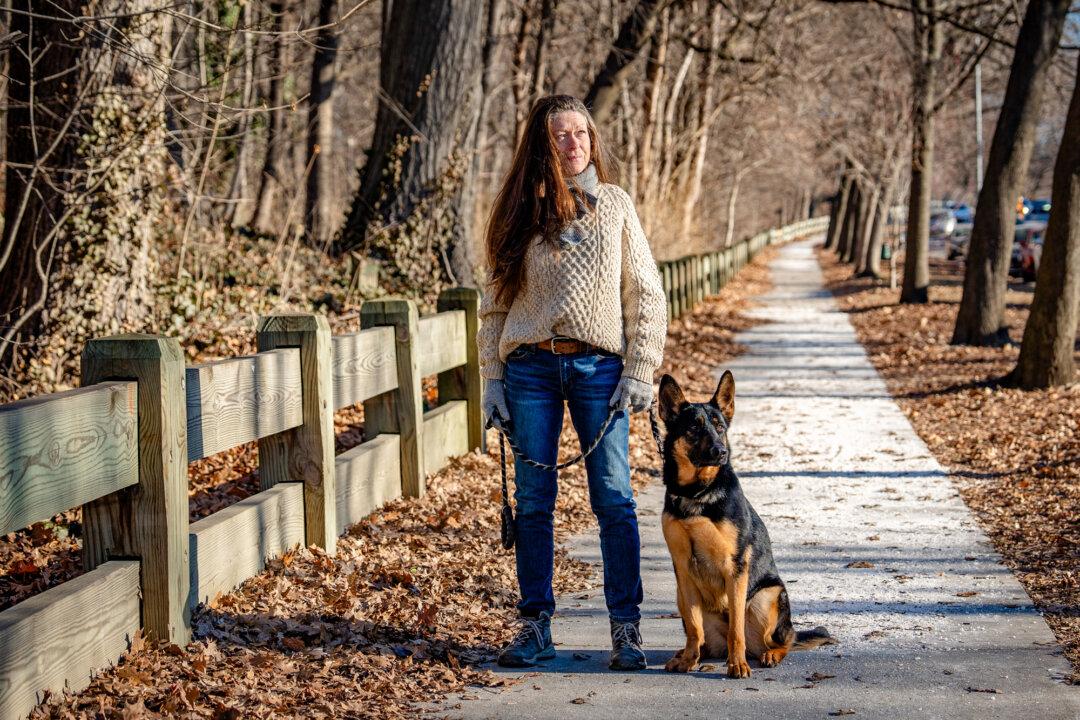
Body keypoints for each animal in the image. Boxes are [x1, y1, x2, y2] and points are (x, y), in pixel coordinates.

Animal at [652, 375, 838, 677]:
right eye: (693, 428)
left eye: (719, 427)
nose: (720, 451)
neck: (697, 493)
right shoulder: (683, 569)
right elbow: (693, 626)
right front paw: (688, 659)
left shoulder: (735, 567)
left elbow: (736, 629)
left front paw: (736, 664)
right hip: (681, 595)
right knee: (702, 637)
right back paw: (691, 654)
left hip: (766, 597)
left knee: (781, 640)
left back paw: (769, 654)